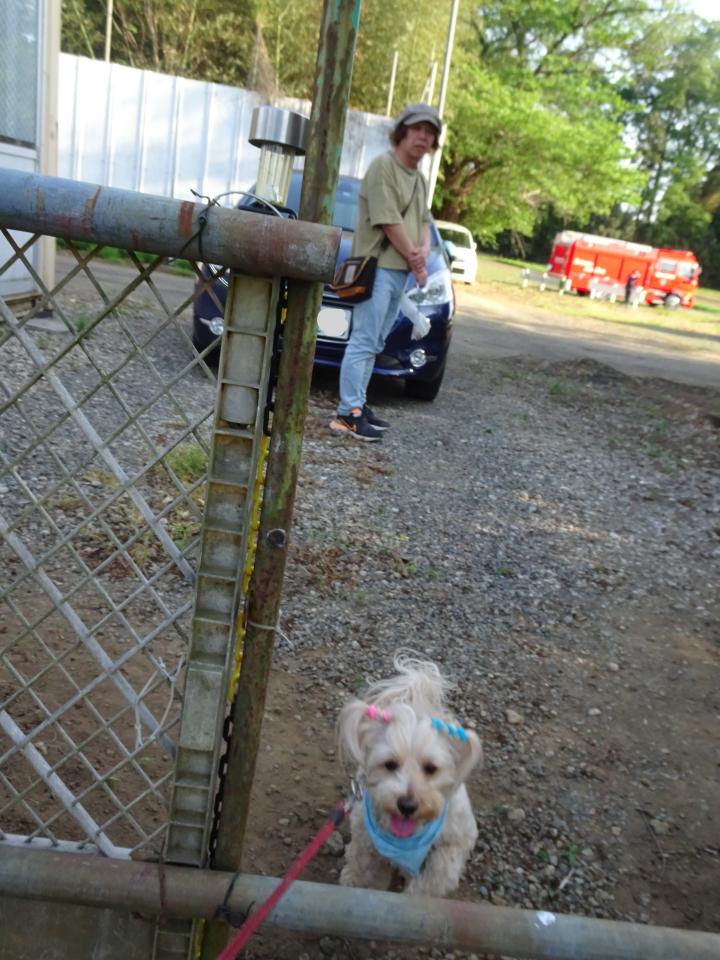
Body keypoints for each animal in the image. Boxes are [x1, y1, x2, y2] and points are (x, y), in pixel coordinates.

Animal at [337, 653, 482, 896]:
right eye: (390, 764)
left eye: (431, 768)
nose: (406, 805)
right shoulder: (363, 832)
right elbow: (361, 860)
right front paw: (354, 880)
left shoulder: (455, 843)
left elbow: (432, 878)